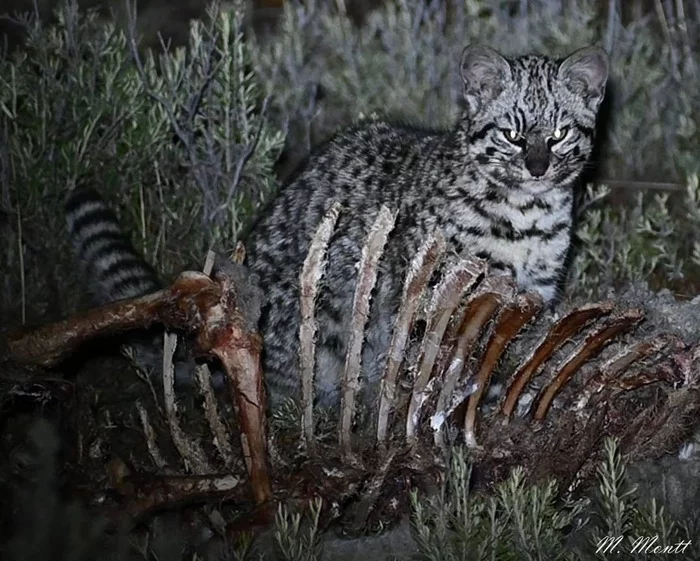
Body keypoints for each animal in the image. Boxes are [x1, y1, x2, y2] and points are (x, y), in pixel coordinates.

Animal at [68, 44, 608, 406]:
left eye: (559, 134)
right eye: (513, 135)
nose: (537, 167)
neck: (528, 214)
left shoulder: (533, 293)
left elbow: (500, 348)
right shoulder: (435, 290)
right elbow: (447, 357)